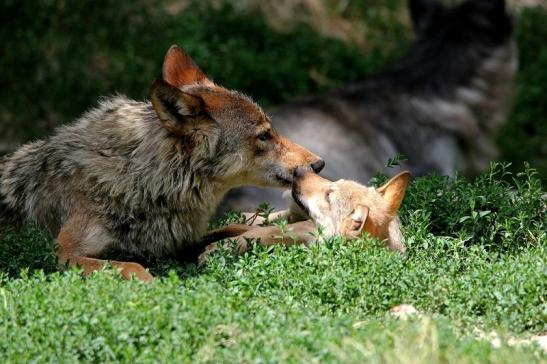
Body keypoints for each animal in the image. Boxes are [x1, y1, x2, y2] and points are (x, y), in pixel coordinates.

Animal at [0, 44, 326, 280]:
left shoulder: (176, 242)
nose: (319, 164)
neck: (144, 182)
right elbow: (130, 266)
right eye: (264, 135)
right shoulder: (64, 253)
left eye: (272, 131)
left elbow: (233, 227)